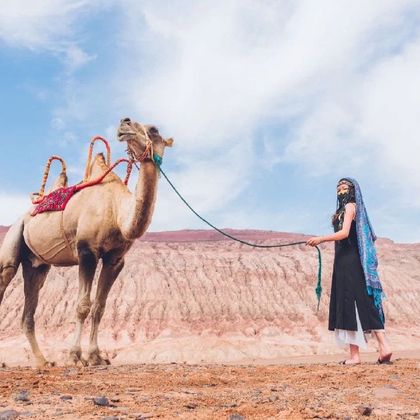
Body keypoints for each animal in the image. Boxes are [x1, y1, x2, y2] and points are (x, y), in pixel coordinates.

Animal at [0, 116, 172, 366]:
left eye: (154, 130)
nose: (125, 122)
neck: (117, 212)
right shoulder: (86, 251)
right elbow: (83, 306)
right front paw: (75, 356)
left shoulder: (115, 259)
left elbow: (100, 307)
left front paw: (95, 356)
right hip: (13, 239)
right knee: (6, 272)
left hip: (37, 264)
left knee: (28, 311)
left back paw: (43, 362)